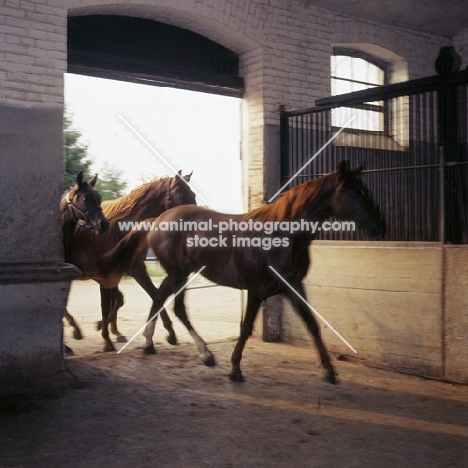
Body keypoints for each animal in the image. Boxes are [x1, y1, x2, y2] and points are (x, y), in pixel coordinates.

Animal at [64, 170, 196, 350]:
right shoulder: (106, 275)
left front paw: (170, 333)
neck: (115, 230)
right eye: (182, 197)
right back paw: (76, 330)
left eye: (193, 195)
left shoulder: (135, 269)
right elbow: (110, 304)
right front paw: (106, 335)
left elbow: (152, 295)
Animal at [103, 162, 384, 384]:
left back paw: (150, 344)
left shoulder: (292, 287)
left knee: (159, 297)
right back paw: (205, 354)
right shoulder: (256, 290)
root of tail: (158, 219)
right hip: (179, 274)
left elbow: (312, 324)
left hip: (177, 275)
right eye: (350, 192)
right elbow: (247, 327)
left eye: (365, 190)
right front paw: (235, 368)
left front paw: (329, 371)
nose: (377, 228)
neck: (282, 235)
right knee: (177, 306)